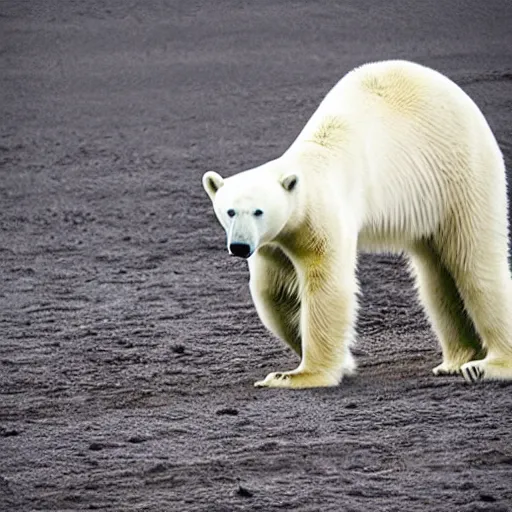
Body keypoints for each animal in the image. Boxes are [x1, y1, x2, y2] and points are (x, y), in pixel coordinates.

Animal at [201, 60, 512, 388]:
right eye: (230, 211)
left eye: (258, 211)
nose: (239, 246)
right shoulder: (273, 242)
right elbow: (273, 290)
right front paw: (340, 362)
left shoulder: (321, 216)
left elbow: (327, 286)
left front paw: (295, 375)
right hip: (429, 207)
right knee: (435, 276)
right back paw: (456, 359)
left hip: (460, 173)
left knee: (475, 265)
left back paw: (488, 365)